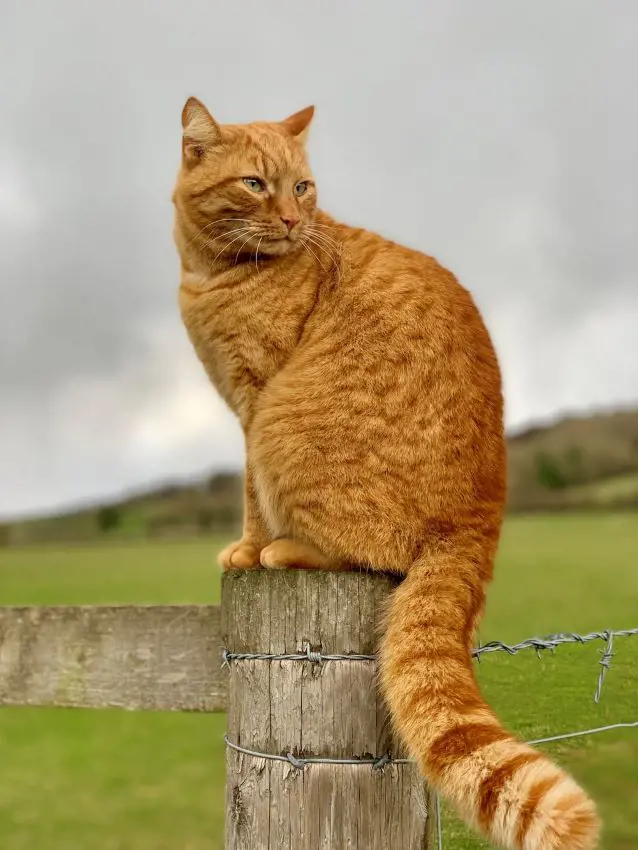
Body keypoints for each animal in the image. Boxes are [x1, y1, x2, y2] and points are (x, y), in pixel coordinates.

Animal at [171, 97, 600, 848]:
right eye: (256, 184)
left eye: (303, 188)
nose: (294, 221)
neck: (214, 271)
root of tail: (482, 512)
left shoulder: (255, 402)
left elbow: (250, 494)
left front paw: (248, 549)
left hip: (285, 424)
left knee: (369, 555)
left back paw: (284, 550)